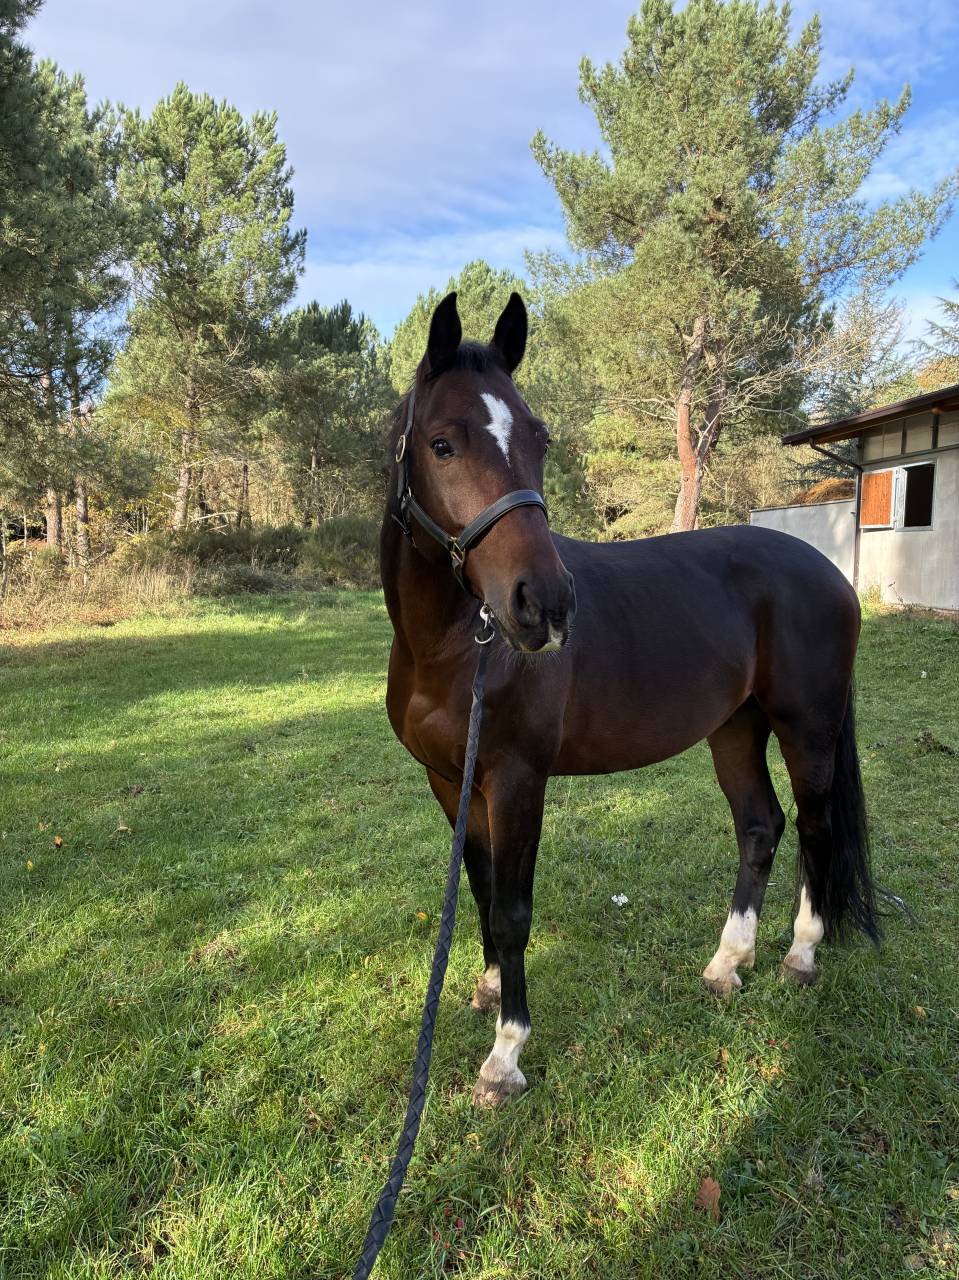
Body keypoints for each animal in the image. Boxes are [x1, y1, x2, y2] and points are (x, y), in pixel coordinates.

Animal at [380, 290, 877, 1107]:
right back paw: (726, 964)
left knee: (814, 827)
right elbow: (481, 889)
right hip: (734, 729)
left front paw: (505, 1055)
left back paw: (800, 956)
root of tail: (828, 572)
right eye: (443, 444)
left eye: (540, 439)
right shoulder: (450, 780)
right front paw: (489, 989)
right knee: (760, 826)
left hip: (806, 727)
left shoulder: (516, 780)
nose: (545, 606)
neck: (450, 649)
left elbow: (512, 910)